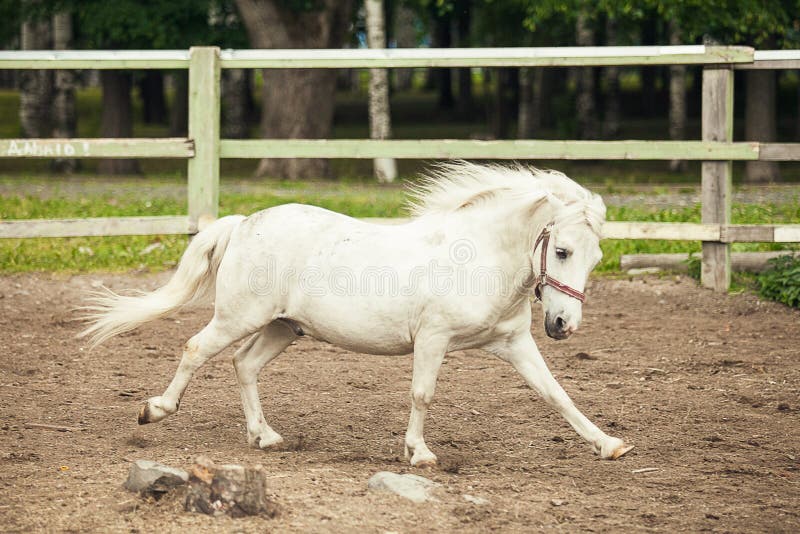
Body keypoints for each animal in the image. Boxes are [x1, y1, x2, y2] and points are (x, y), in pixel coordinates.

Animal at [80, 162, 632, 466]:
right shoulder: (433, 339)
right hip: (240, 317)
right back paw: (154, 410)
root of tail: (243, 223)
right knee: (196, 350)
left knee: (244, 365)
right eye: (561, 251)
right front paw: (420, 453)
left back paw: (265, 437)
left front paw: (608, 445)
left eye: (595, 258)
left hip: (284, 327)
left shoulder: (514, 343)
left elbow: (556, 394)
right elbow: (422, 394)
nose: (563, 326)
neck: (477, 256)